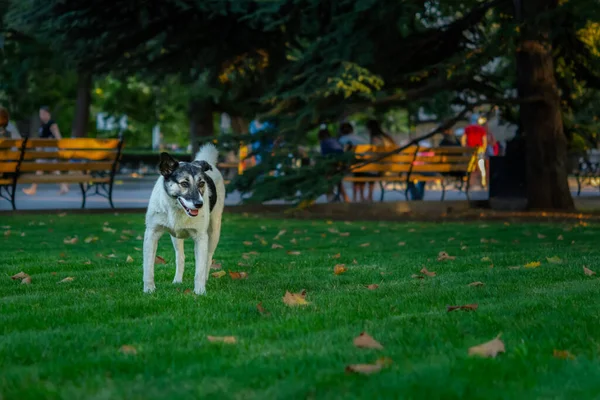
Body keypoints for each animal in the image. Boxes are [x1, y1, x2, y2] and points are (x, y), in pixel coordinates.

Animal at [143, 144, 225, 294]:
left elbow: (200, 269)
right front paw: (149, 289)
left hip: (214, 230)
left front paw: (200, 291)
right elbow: (148, 267)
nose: (199, 204)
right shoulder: (151, 233)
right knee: (180, 257)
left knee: (208, 258)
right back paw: (177, 280)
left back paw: (205, 279)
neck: (176, 209)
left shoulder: (201, 237)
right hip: (175, 238)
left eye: (201, 184)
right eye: (184, 184)